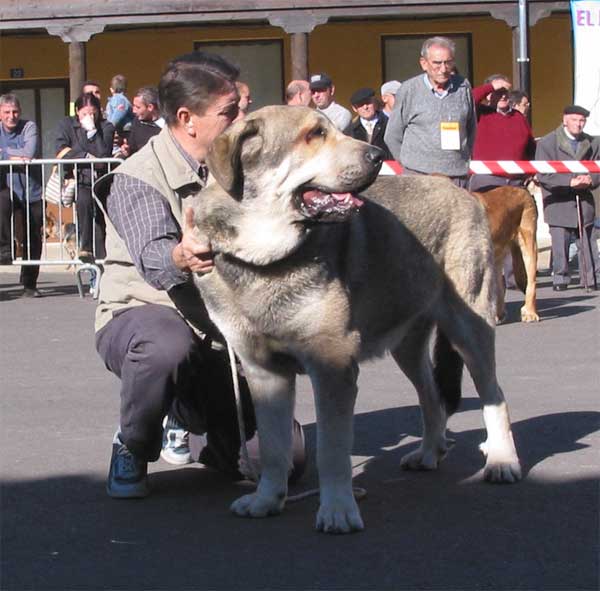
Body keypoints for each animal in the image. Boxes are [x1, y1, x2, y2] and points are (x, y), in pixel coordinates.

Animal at [189, 104, 520, 536]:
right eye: (313, 135)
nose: (377, 157)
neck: (266, 260)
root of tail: (466, 194)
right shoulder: (264, 373)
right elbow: (275, 449)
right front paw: (266, 499)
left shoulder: (332, 367)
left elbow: (331, 450)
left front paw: (337, 511)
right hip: (407, 346)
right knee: (431, 397)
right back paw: (429, 453)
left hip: (470, 329)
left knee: (494, 394)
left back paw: (502, 461)